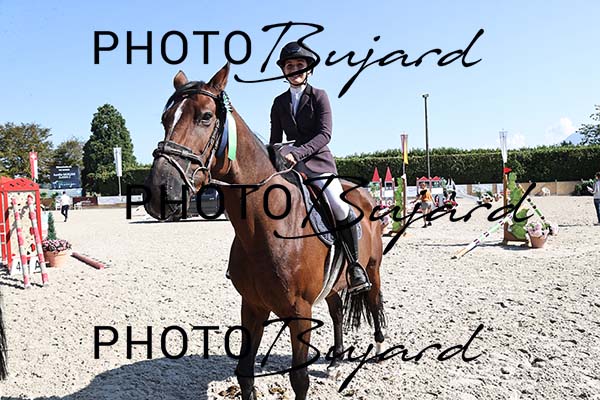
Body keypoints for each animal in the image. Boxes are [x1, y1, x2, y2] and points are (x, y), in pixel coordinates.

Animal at [144, 63, 386, 400]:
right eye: (165, 119)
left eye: (205, 116)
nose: (159, 192)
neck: (264, 230)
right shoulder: (252, 306)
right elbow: (245, 373)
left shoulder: (299, 312)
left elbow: (299, 379)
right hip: (333, 284)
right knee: (337, 310)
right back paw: (336, 361)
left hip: (373, 269)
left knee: (374, 301)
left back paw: (378, 349)